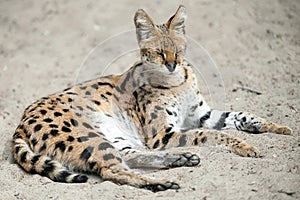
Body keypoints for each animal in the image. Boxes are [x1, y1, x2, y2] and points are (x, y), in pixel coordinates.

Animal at [12, 5, 292, 192]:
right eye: (158, 52)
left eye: (178, 51)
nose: (171, 64)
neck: (178, 81)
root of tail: (21, 122)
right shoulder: (162, 135)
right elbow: (212, 135)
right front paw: (244, 145)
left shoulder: (202, 114)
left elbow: (241, 115)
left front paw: (277, 127)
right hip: (89, 136)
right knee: (112, 169)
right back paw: (161, 183)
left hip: (115, 135)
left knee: (129, 157)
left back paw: (180, 159)